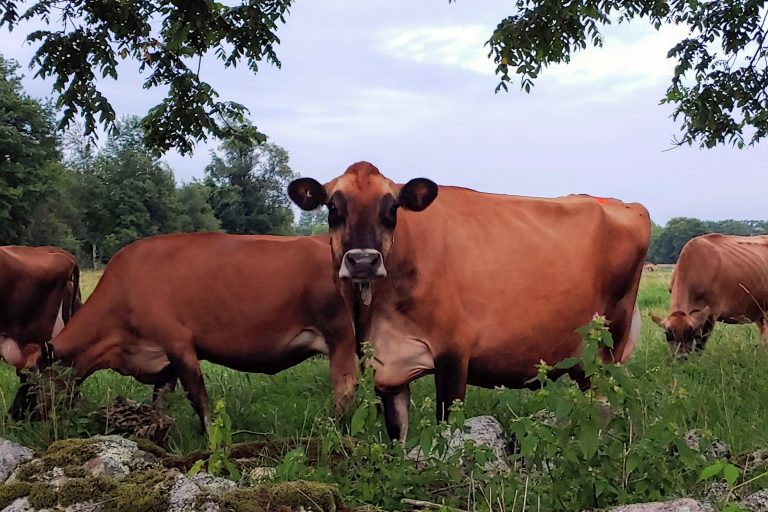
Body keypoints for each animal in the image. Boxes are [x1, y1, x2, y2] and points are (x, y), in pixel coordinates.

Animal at [288, 161, 651, 441]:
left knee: (606, 407)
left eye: (392, 209)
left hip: (608, 348)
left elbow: (447, 429)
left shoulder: (454, 350)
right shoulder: (385, 368)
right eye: (333, 208)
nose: (363, 261)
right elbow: (397, 436)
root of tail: (624, 204)